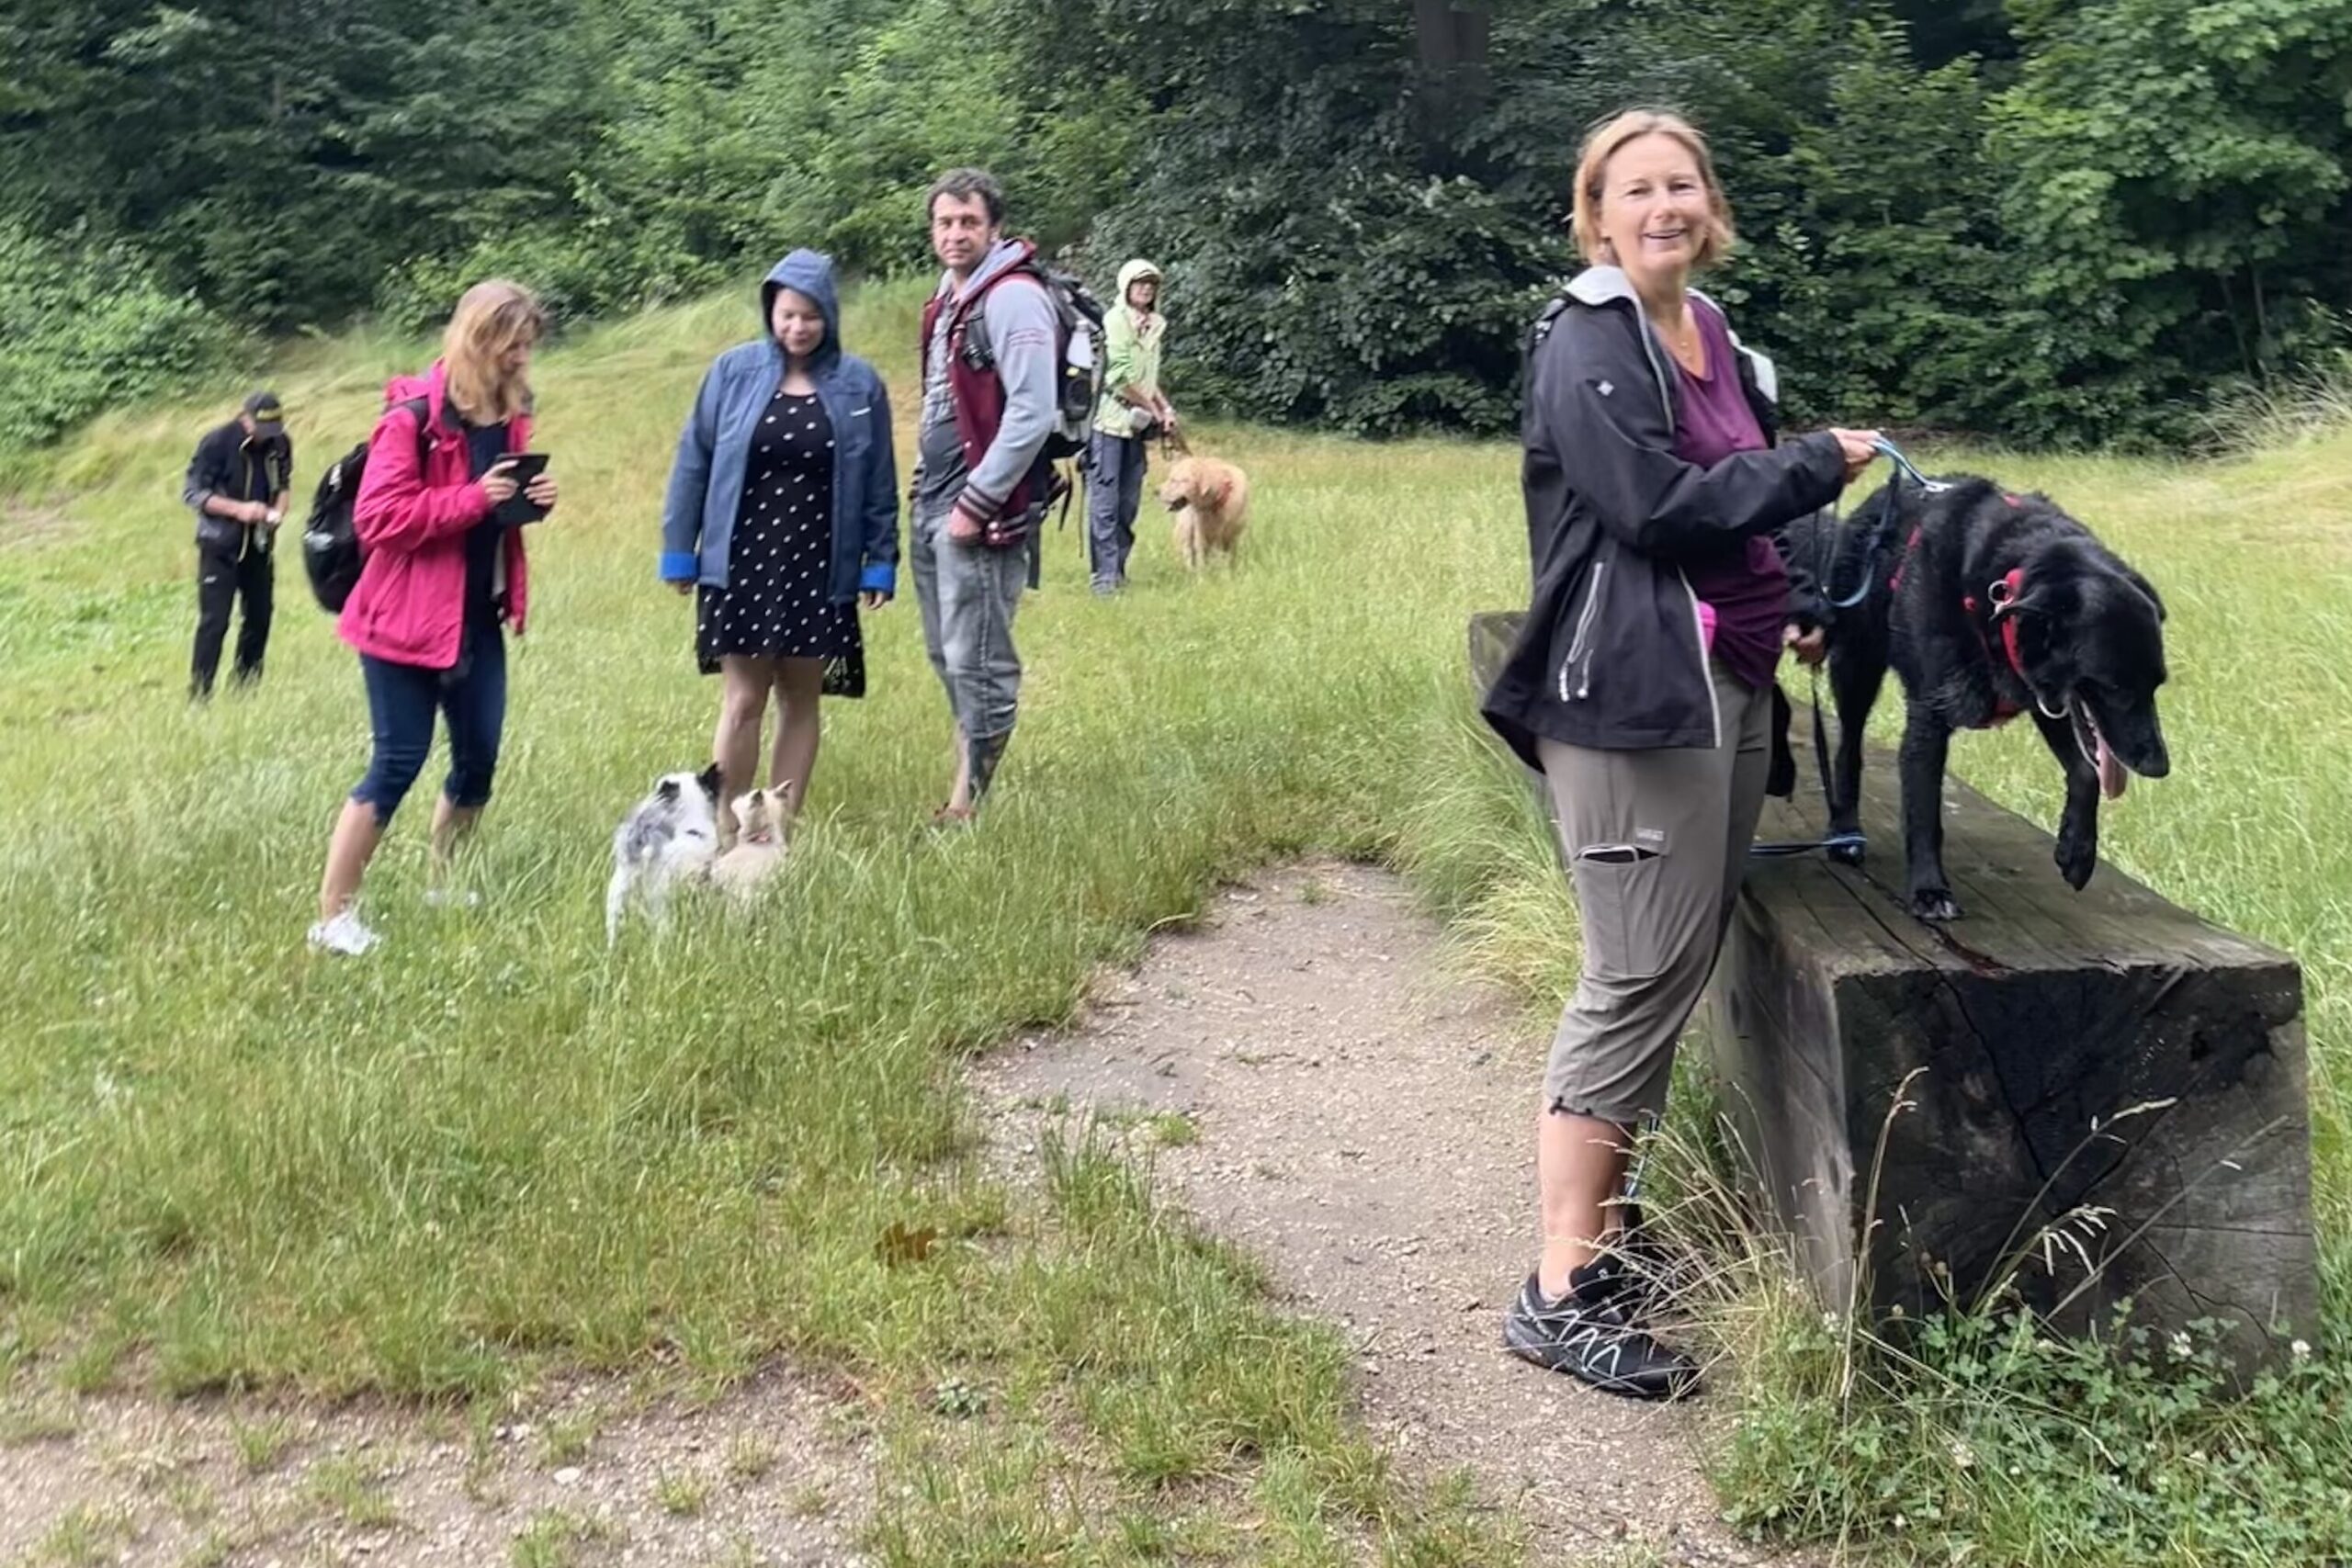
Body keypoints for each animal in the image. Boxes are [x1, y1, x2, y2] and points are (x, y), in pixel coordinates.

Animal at [1787, 479, 2173, 921]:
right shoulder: (1929, 718)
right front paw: (1929, 890)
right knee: (1848, 749)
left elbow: (2085, 772)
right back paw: (1844, 830)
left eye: (2156, 684)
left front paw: (2077, 853)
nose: (2160, 768)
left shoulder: (2047, 697)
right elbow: (1924, 811)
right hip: (1857, 667)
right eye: (2114, 687)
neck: (2000, 590)